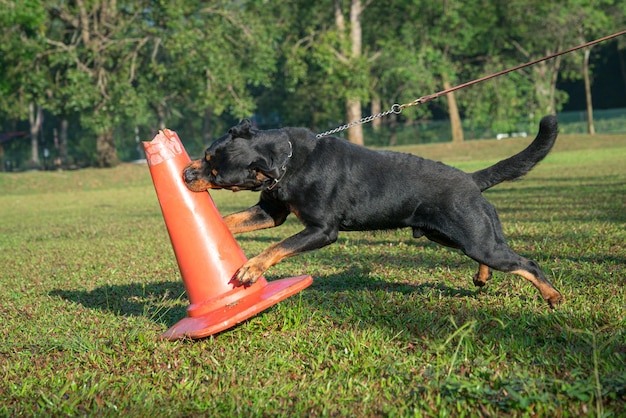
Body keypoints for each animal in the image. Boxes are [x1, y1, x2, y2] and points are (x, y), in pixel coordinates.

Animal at [182, 115, 560, 306]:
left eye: (216, 173)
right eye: (206, 155)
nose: (185, 174)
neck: (286, 162)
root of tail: (470, 178)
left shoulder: (321, 230)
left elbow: (278, 247)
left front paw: (250, 269)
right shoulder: (271, 212)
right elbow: (234, 220)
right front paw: (215, 229)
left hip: (474, 235)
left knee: (526, 263)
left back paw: (552, 296)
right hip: (449, 235)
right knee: (489, 257)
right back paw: (482, 278)